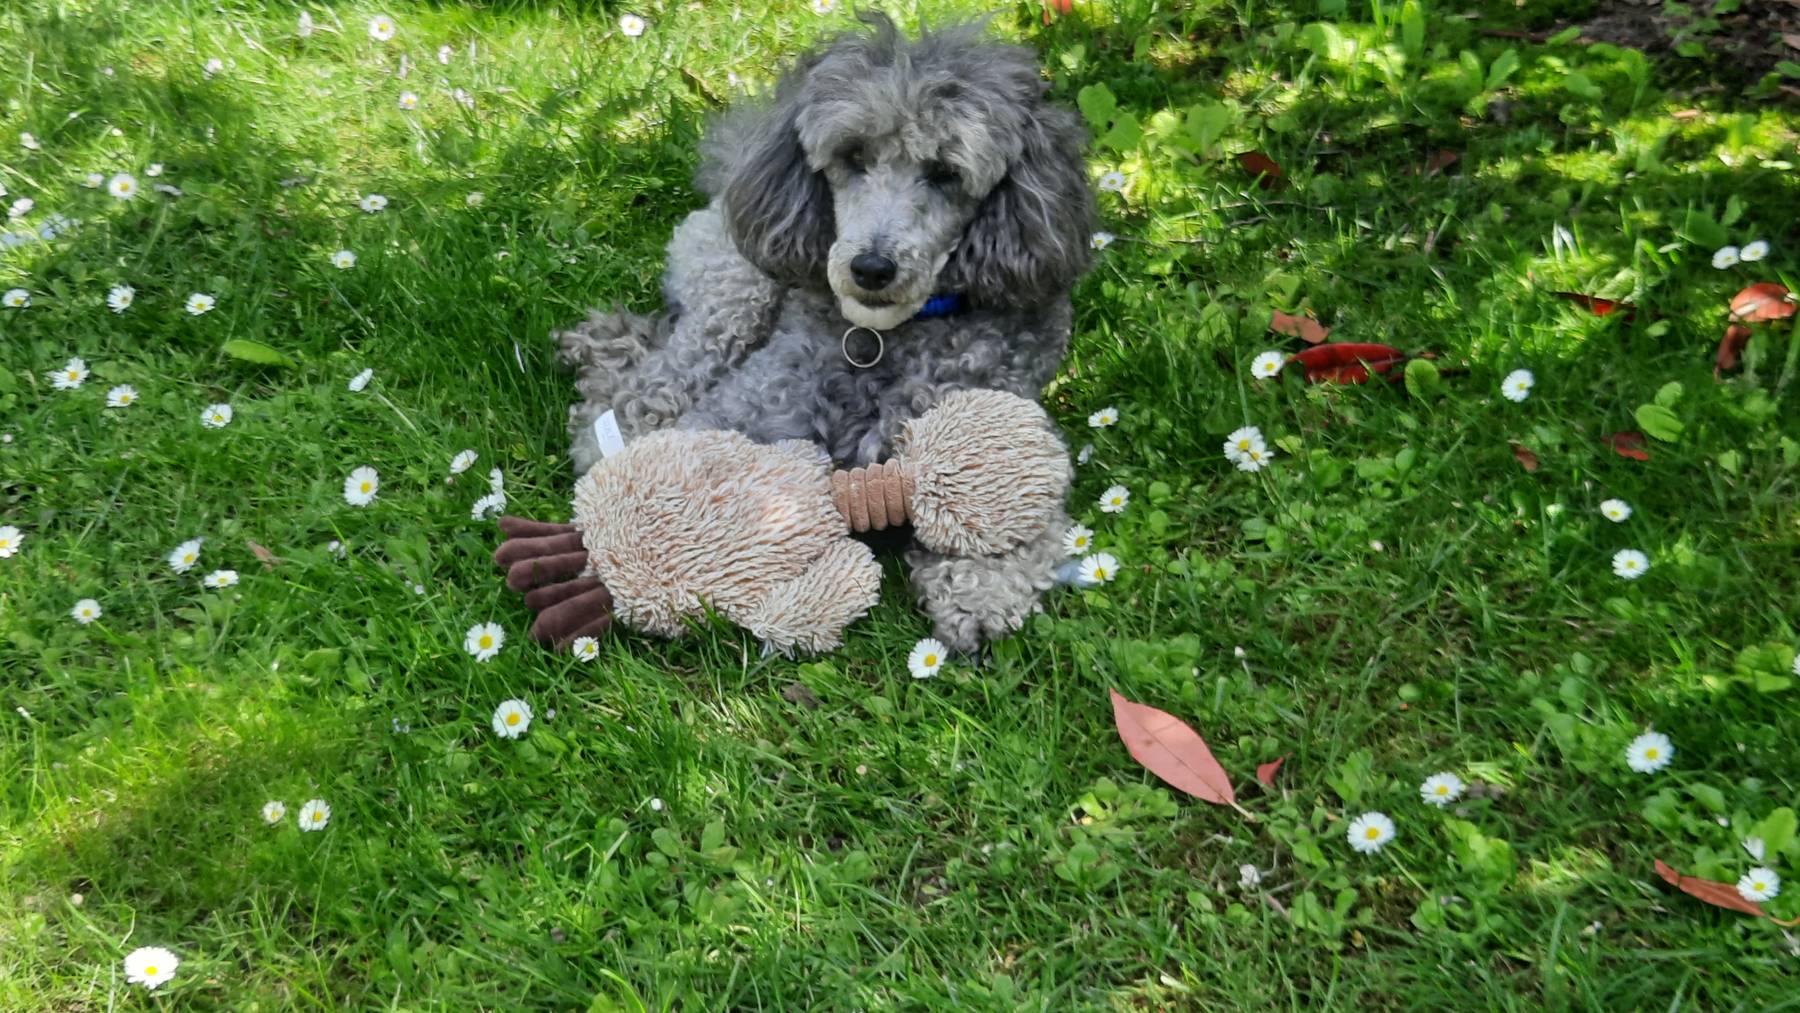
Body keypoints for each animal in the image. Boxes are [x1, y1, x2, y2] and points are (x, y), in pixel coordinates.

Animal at [554, 13, 1095, 651]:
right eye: (853, 155)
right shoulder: (740, 414)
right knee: (643, 383)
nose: (871, 268)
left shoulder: (999, 422)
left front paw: (978, 591)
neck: (881, 338)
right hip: (736, 292)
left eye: (945, 173)